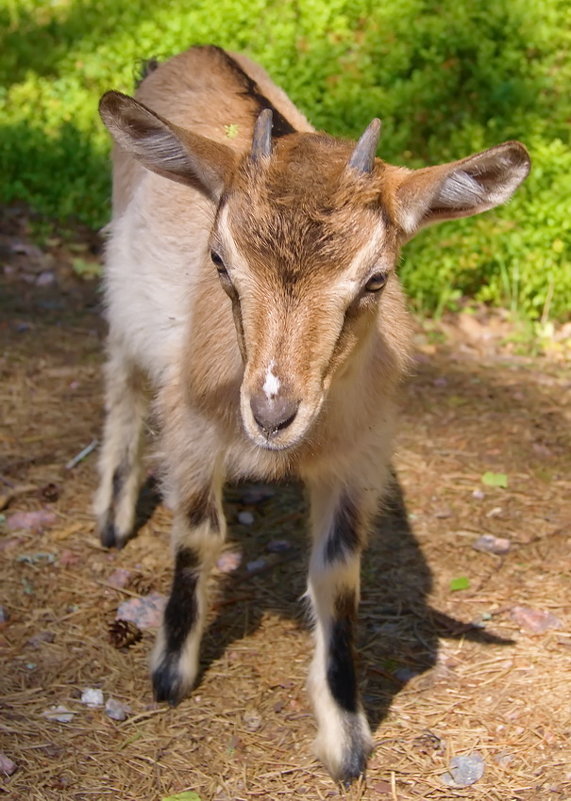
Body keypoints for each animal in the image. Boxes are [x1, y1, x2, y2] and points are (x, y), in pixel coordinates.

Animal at [97, 45, 532, 780]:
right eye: (219, 260)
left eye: (375, 279)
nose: (272, 411)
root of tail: (192, 52)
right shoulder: (192, 426)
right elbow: (198, 533)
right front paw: (171, 671)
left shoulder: (360, 456)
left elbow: (338, 573)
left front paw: (345, 737)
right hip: (124, 304)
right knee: (123, 382)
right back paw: (111, 514)